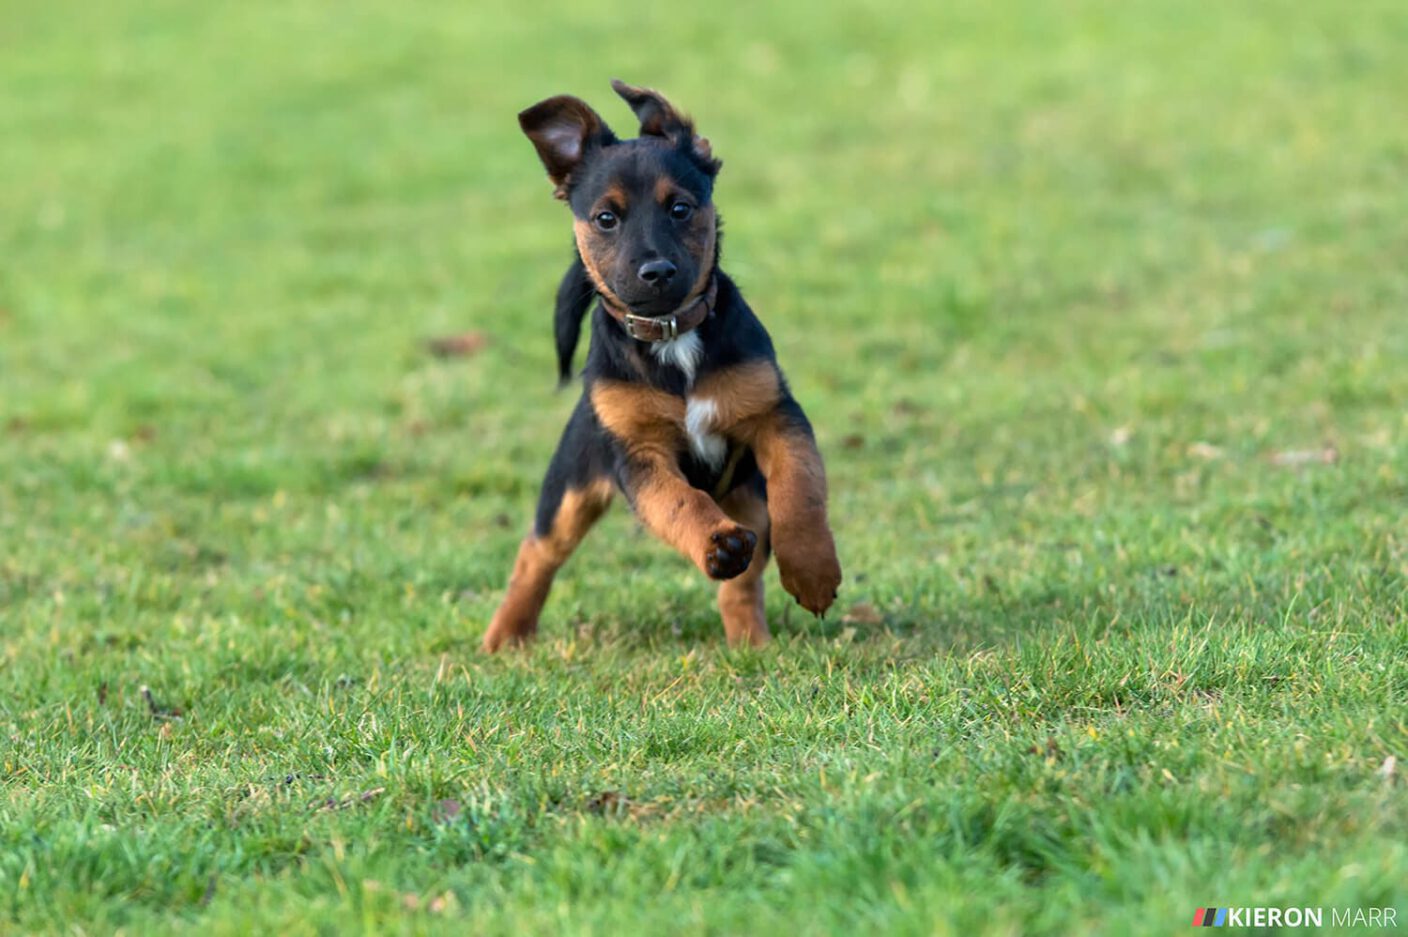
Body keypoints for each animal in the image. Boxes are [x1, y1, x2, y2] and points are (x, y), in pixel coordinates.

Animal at [478, 80, 839, 650]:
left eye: (681, 209)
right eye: (606, 218)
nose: (658, 271)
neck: (673, 336)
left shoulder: (776, 418)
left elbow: (799, 490)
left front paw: (813, 574)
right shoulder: (639, 455)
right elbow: (680, 502)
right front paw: (715, 542)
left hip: (747, 497)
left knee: (743, 581)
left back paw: (750, 644)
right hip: (570, 483)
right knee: (538, 552)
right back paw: (504, 636)